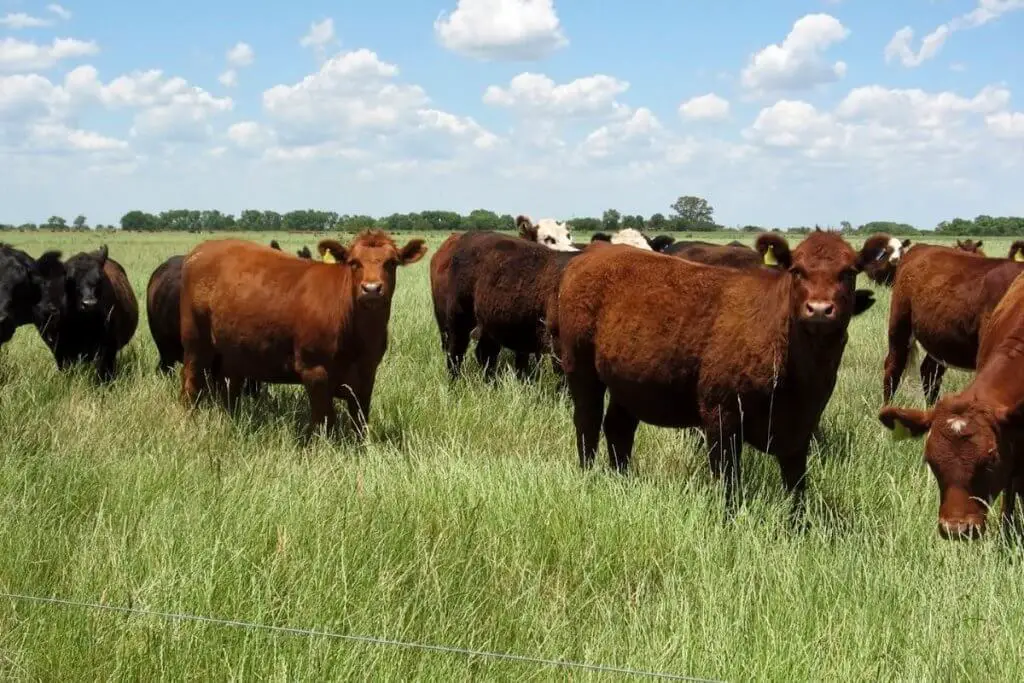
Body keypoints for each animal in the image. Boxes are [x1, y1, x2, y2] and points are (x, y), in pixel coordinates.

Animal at [35, 246, 139, 385]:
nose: (89, 303)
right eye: (70, 280)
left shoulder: (107, 347)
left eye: (99, 279)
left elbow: (103, 372)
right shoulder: (59, 348)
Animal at [557, 229, 884, 511]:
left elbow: (796, 485)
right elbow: (729, 480)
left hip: (628, 382)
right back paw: (588, 475)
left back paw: (621, 479)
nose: (818, 309)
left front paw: (799, 526)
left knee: (618, 427)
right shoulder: (721, 414)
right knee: (587, 422)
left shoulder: (802, 424)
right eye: (796, 271)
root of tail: (595, 253)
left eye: (849, 272)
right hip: (580, 368)